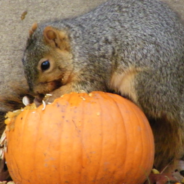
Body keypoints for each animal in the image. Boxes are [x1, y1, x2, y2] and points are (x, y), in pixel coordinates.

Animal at [19, 0, 184, 177]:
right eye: (23, 60)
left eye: (45, 65)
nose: (34, 91)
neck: (78, 46)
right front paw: (35, 98)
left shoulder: (93, 66)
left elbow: (81, 86)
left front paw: (48, 96)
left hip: (143, 82)